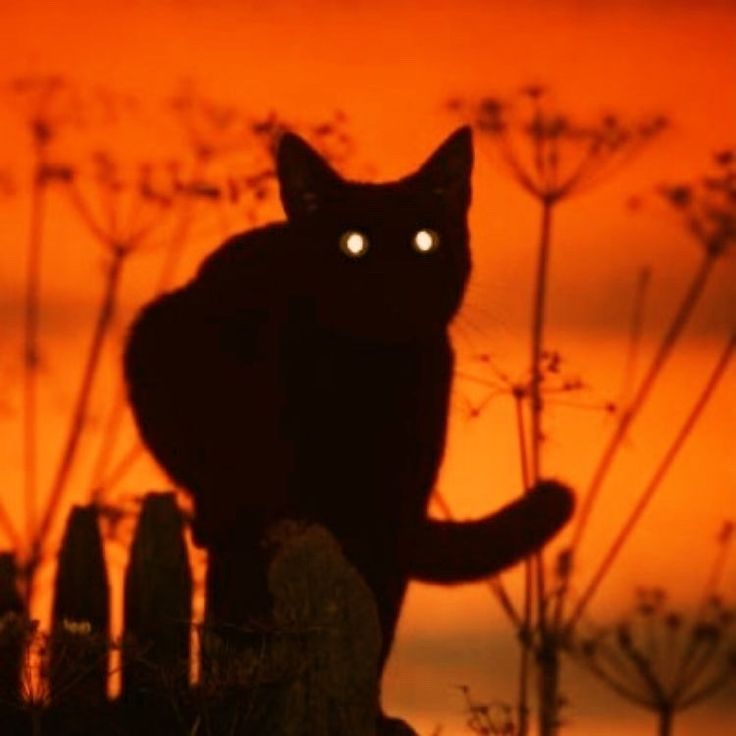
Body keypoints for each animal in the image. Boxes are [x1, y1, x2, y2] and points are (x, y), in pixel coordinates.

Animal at [125, 128, 576, 732]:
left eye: (425, 239)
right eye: (353, 243)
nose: (393, 274)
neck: (363, 385)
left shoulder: (393, 513)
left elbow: (378, 615)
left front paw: (373, 713)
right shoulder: (263, 504)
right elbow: (244, 614)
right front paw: (238, 702)